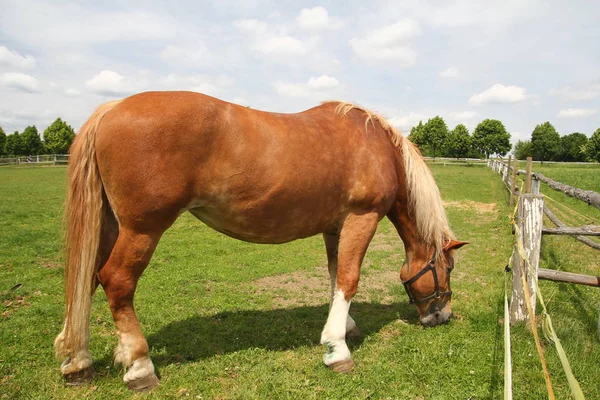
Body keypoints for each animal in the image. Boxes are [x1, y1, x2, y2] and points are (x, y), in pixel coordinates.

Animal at [54, 90, 468, 390]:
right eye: (447, 268)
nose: (441, 316)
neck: (374, 145)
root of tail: (111, 109)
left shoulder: (335, 227)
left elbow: (335, 277)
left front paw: (345, 328)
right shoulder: (360, 219)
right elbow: (349, 279)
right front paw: (337, 349)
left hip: (110, 225)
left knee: (86, 280)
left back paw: (79, 361)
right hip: (142, 230)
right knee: (116, 282)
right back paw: (139, 365)